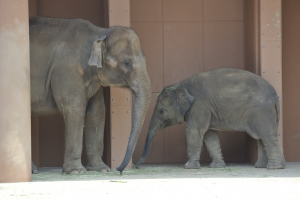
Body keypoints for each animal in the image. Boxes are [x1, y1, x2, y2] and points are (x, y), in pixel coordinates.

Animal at [29, 16, 151, 174]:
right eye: (127, 63)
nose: (119, 169)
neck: (100, 32)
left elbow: (96, 112)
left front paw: (101, 169)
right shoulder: (68, 71)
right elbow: (75, 109)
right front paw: (76, 172)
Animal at [136, 68, 286, 170]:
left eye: (161, 111)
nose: (137, 165)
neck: (182, 85)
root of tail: (275, 94)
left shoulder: (200, 105)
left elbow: (193, 131)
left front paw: (189, 167)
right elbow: (209, 135)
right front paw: (217, 166)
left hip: (261, 111)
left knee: (266, 135)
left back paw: (274, 167)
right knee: (260, 137)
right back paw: (260, 166)